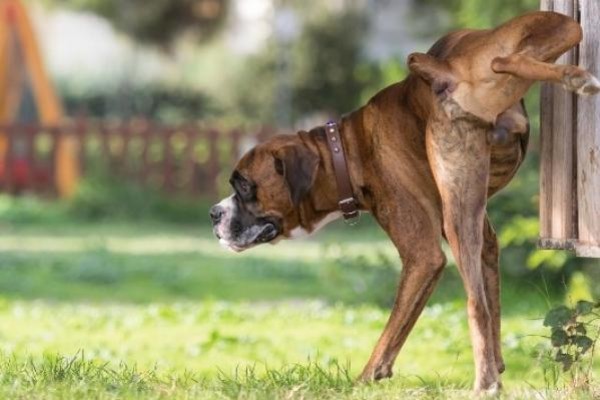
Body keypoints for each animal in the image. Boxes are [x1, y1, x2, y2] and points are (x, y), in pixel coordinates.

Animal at [210, 10, 600, 392]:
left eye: (243, 185)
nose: (214, 213)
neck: (346, 150)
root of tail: (445, 69)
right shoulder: (484, 240)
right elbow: (493, 302)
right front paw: (498, 364)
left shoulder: (422, 256)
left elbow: (392, 330)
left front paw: (365, 378)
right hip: (553, 34)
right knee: (511, 58)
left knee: (475, 305)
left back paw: (483, 384)